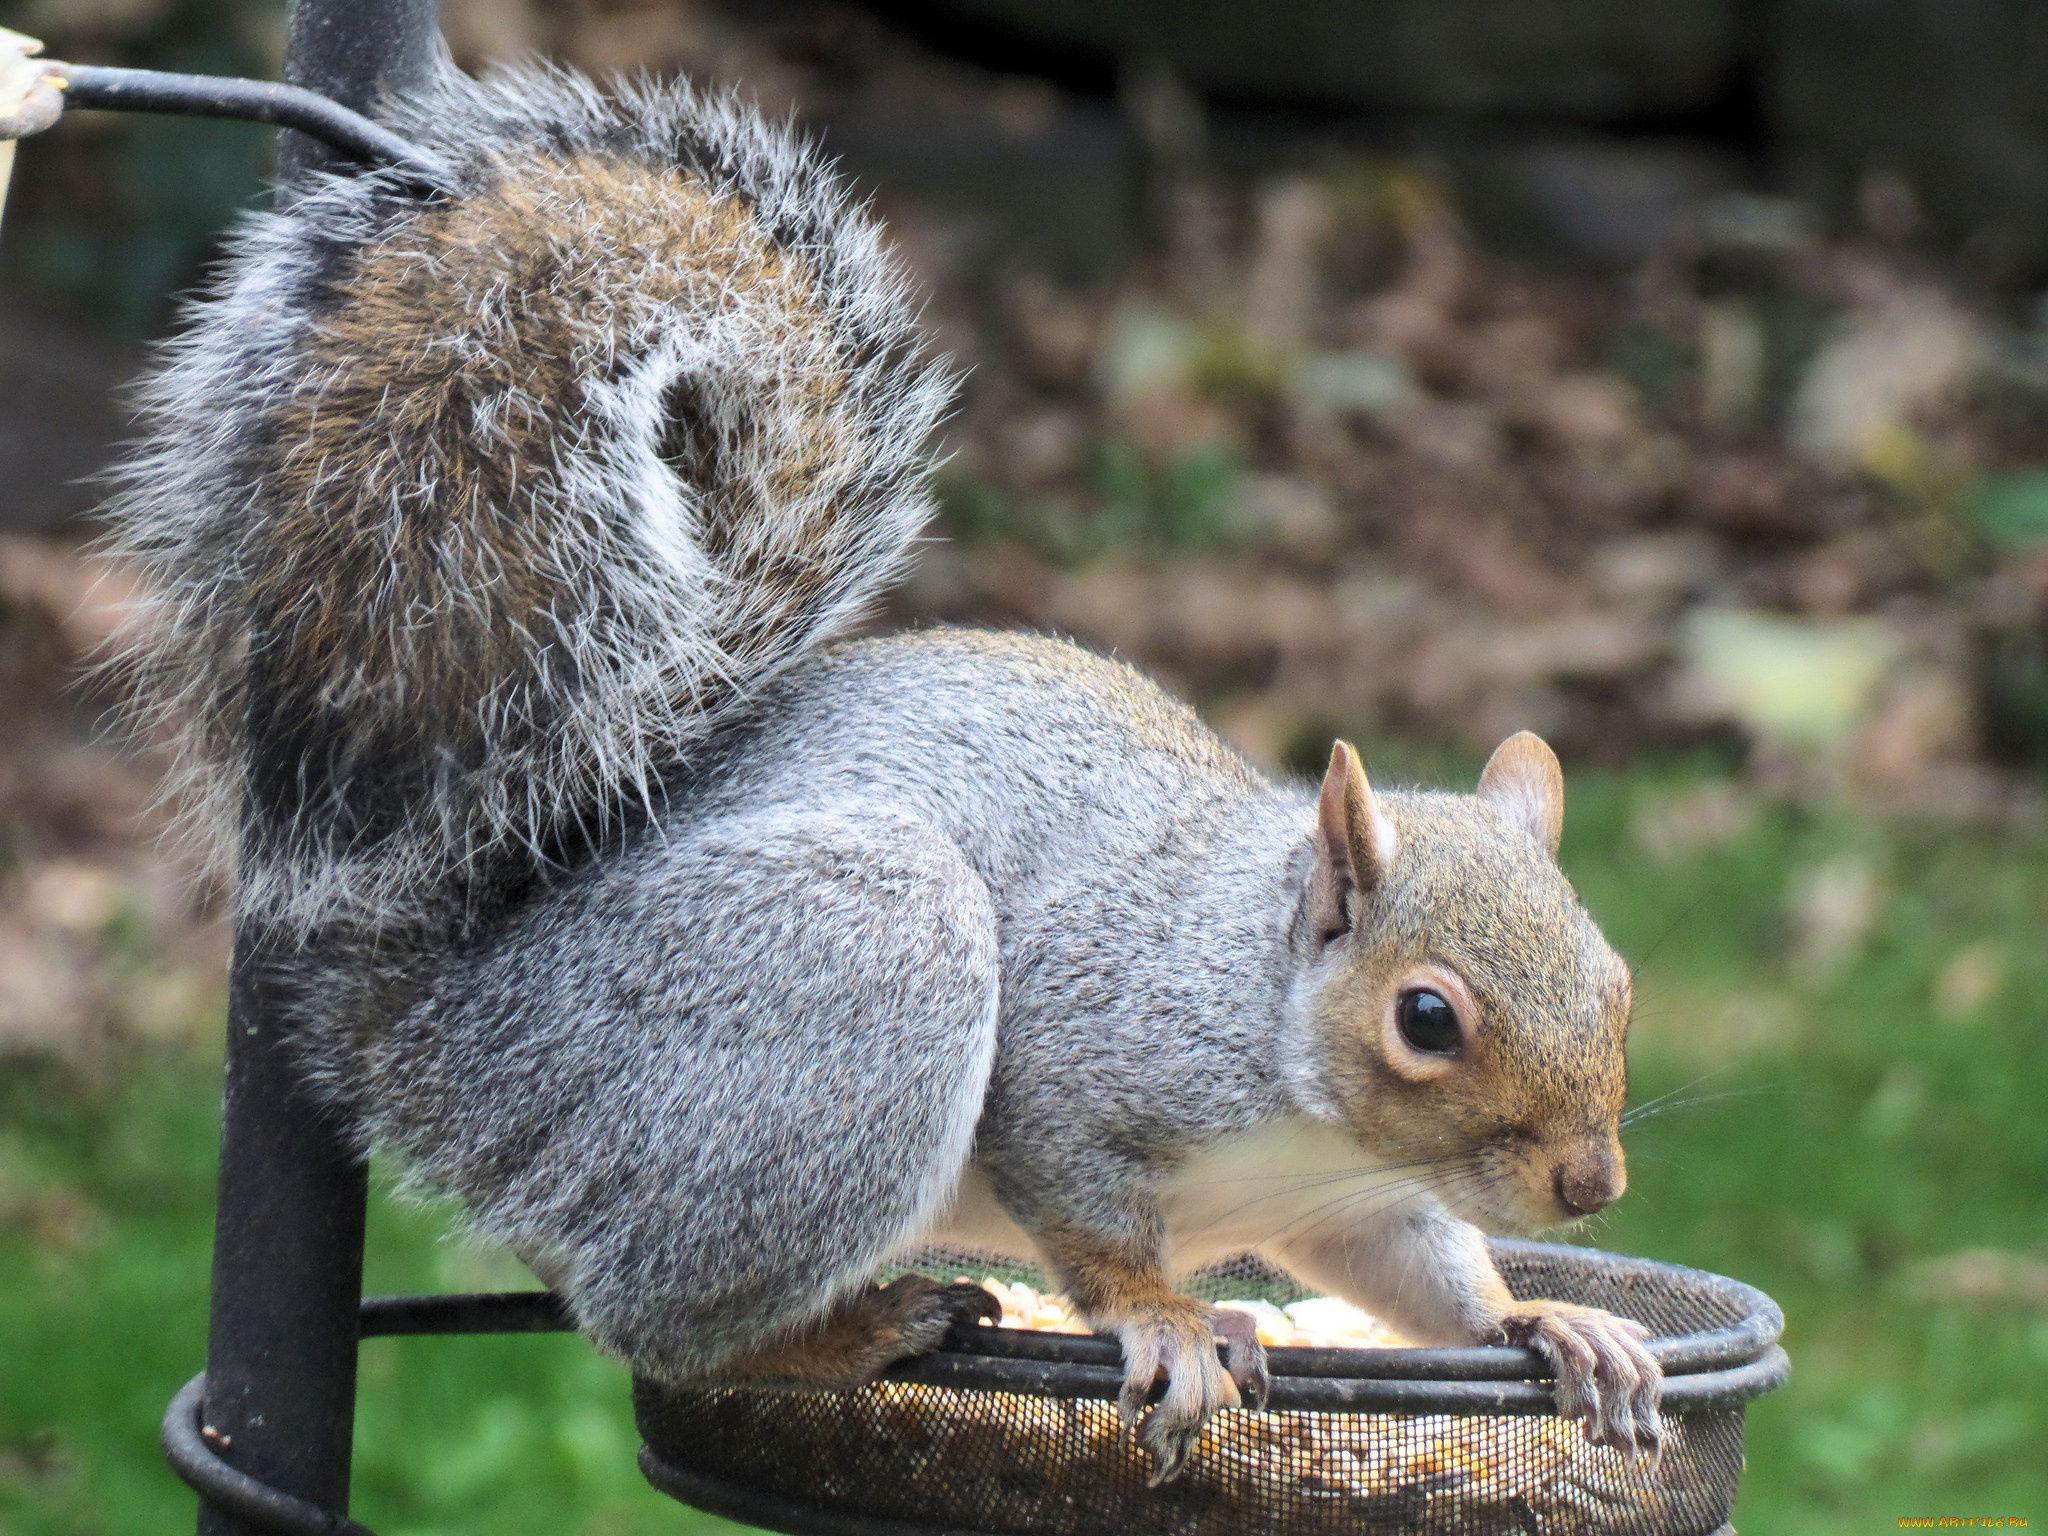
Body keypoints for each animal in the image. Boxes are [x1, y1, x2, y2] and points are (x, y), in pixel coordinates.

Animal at [103, 60, 1662, 1490]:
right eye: (1424, 1018)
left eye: (1619, 981)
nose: (1591, 1185)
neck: (1275, 1041)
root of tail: (439, 1031)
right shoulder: (1087, 1056)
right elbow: (1084, 1208)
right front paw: (1160, 1318)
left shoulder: (1354, 1202)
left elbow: (1419, 1266)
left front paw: (1545, 1321)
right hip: (849, 970)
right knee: (647, 1317)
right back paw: (850, 1330)